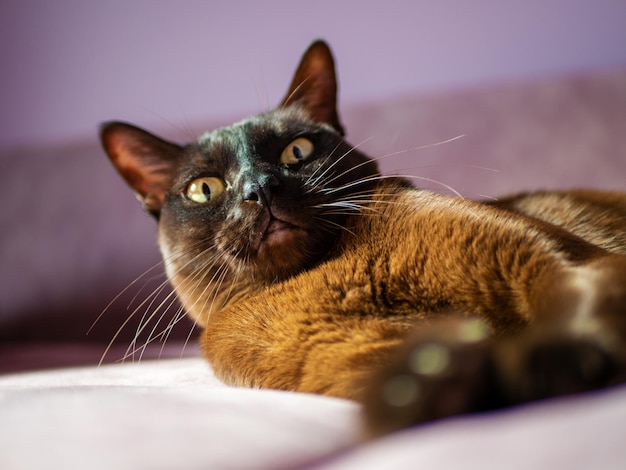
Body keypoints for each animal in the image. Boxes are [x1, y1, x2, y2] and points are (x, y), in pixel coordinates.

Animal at [100, 39, 624, 436]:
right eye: (204, 189)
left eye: (297, 151)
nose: (260, 188)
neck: (328, 276)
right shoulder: (359, 350)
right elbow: (413, 376)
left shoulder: (538, 256)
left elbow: (575, 298)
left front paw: (558, 361)